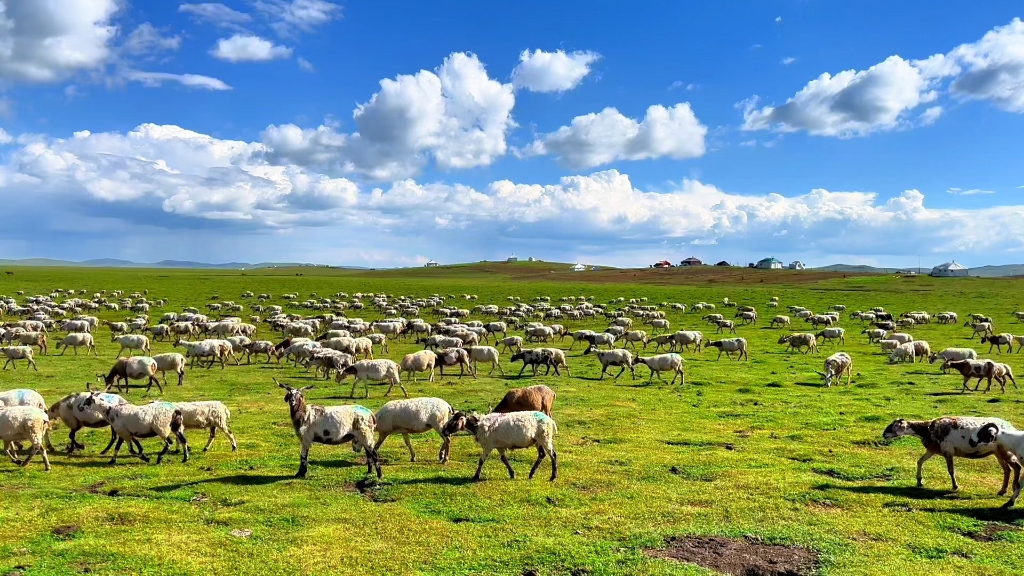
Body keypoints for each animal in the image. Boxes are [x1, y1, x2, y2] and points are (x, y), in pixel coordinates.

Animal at [880, 414, 1015, 491]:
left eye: (893, 426)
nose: (884, 435)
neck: (927, 430)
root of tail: (1011, 427)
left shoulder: (947, 451)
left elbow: (951, 470)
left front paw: (955, 486)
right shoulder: (932, 450)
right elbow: (919, 461)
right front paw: (919, 481)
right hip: (997, 453)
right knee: (1007, 470)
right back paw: (1003, 490)